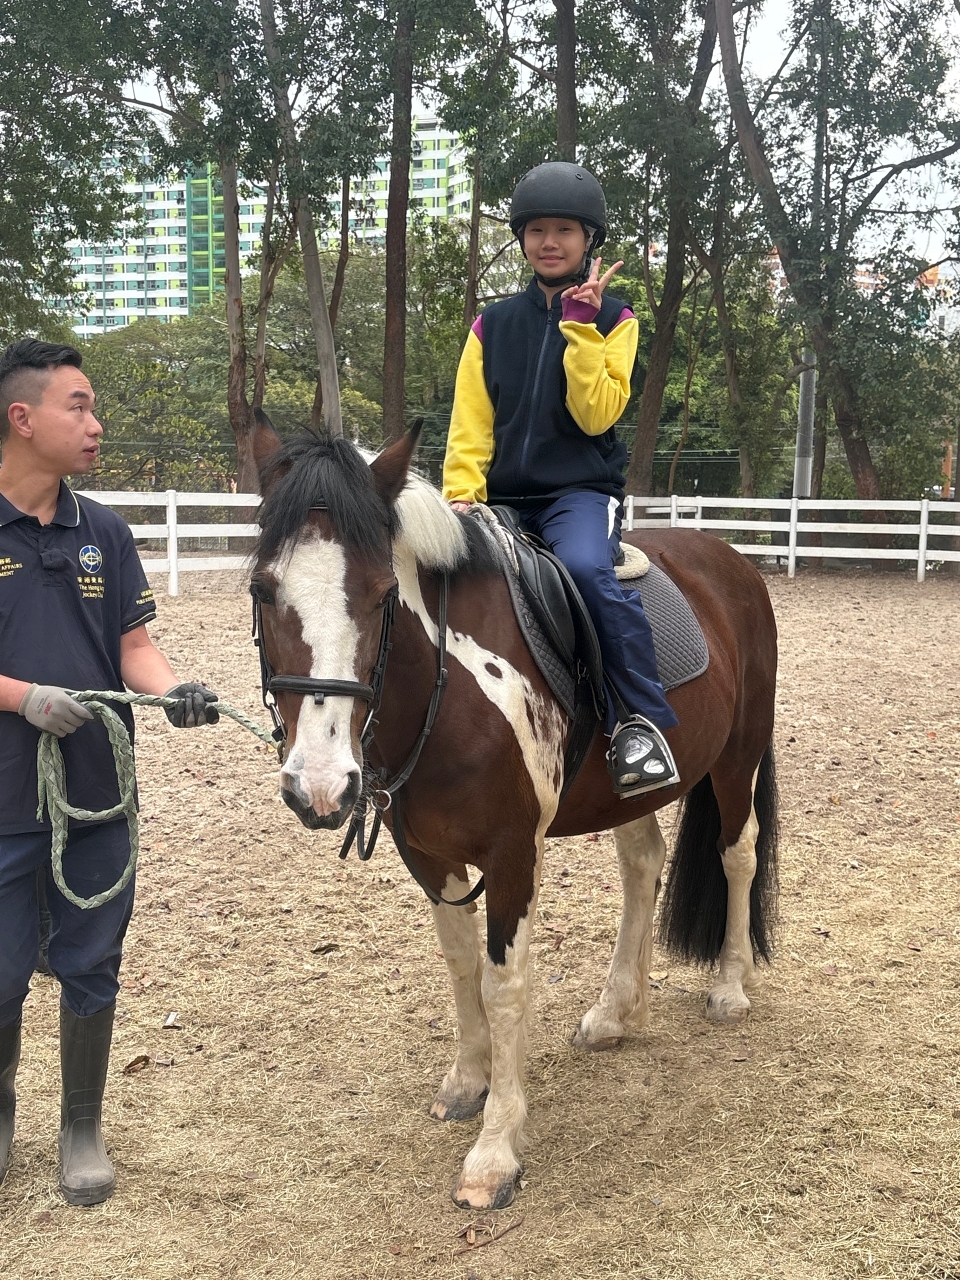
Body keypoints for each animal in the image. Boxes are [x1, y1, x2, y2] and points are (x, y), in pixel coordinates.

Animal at [249, 415, 779, 1211]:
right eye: (262, 587)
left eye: (381, 593)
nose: (320, 782)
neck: (447, 687)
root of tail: (730, 560)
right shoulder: (429, 855)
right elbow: (461, 964)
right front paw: (467, 1083)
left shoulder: (511, 854)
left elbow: (503, 984)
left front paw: (495, 1150)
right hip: (633, 789)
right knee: (642, 865)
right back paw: (616, 1012)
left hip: (736, 758)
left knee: (736, 852)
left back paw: (728, 986)